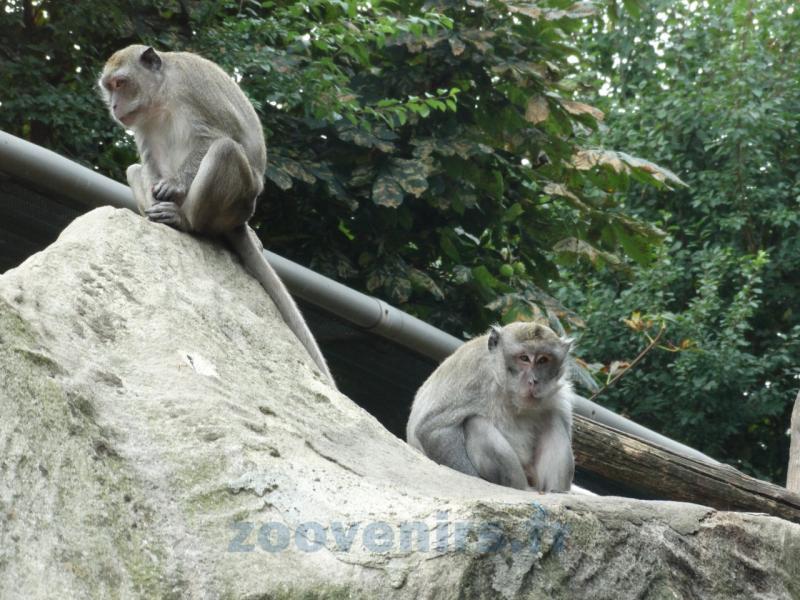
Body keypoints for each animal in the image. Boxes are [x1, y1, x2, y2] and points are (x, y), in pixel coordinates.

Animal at [98, 45, 335, 387]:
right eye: (109, 88)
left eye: (121, 83)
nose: (114, 106)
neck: (162, 96)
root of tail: (242, 220)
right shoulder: (142, 124)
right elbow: (149, 161)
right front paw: (158, 191)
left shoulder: (192, 90)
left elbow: (216, 135)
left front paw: (173, 183)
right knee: (134, 169)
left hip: (236, 202)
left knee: (224, 150)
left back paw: (186, 222)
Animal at [406, 321, 574, 492]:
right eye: (524, 358)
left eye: (543, 360)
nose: (534, 381)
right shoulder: (473, 377)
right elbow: (433, 430)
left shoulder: (558, 396)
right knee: (475, 423)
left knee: (553, 419)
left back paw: (554, 491)